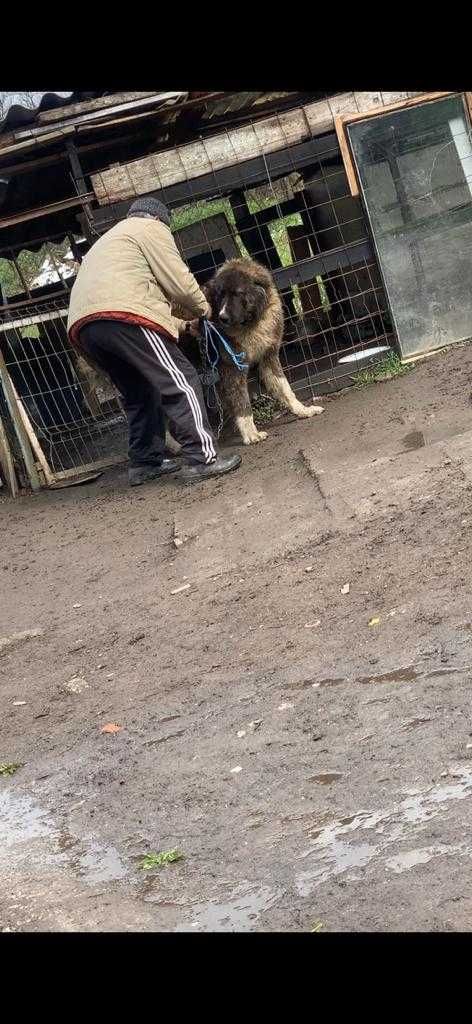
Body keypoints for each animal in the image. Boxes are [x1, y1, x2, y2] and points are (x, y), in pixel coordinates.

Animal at [203, 258, 321, 442]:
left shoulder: (269, 358)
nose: (222, 318)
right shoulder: (232, 369)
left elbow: (285, 389)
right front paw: (251, 434)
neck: (251, 324)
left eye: (238, 293)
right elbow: (242, 402)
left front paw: (303, 410)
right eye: (220, 295)